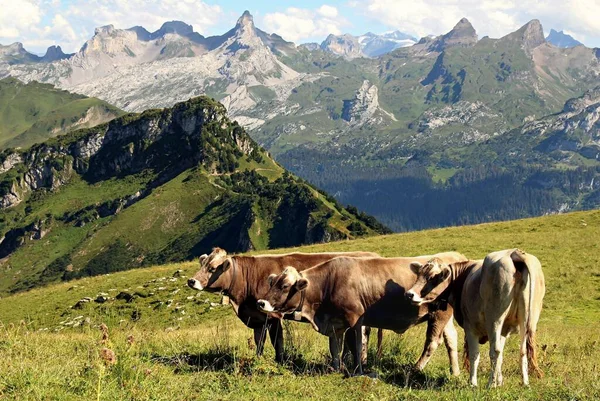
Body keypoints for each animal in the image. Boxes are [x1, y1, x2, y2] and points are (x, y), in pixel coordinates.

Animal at [185, 247, 378, 362]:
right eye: (202, 264)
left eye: (212, 268)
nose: (191, 281)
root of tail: (373, 255)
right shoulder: (257, 317)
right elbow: (259, 341)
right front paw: (258, 358)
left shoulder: (272, 315)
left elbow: (276, 340)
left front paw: (279, 360)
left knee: (360, 337)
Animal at [255, 252, 466, 374]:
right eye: (272, 283)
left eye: (284, 286)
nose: (261, 302)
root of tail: (454, 256)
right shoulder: (334, 323)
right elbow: (335, 347)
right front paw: (335, 368)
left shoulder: (354, 319)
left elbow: (355, 345)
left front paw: (357, 369)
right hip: (445, 316)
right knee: (451, 339)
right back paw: (454, 372)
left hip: (439, 314)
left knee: (433, 342)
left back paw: (416, 368)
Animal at [406, 248, 548, 386]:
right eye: (419, 275)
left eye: (432, 278)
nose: (409, 294)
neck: (462, 279)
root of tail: (513, 253)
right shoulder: (504, 330)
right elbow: (501, 357)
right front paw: (500, 382)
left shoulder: (470, 327)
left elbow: (474, 355)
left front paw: (473, 383)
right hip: (527, 320)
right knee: (522, 351)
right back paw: (525, 383)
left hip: (494, 320)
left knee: (495, 351)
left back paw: (490, 384)